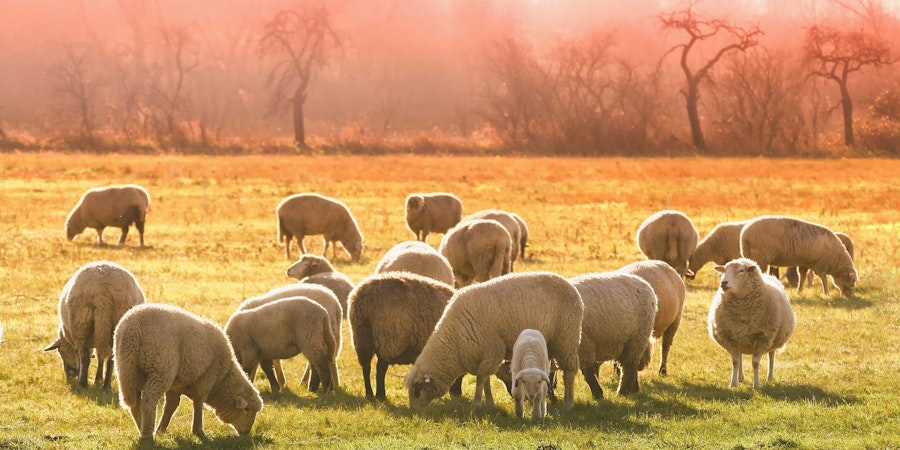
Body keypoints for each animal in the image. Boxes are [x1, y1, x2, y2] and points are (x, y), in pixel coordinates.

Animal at [114, 303, 263, 440]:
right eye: (247, 410)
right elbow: (198, 403)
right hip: (160, 369)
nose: (246, 433)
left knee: (135, 404)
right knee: (148, 401)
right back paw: (147, 435)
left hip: (127, 369)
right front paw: (199, 432)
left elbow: (171, 407)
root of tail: (133, 327)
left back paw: (142, 429)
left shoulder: (176, 385)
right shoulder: (207, 377)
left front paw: (161, 429)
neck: (223, 378)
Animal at [348, 272, 457, 400]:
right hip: (388, 339)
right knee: (380, 369)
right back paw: (381, 395)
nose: (457, 394)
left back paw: (369, 394)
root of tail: (363, 297)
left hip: (362, 338)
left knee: (366, 367)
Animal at [405, 272, 583, 412]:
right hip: (550, 344)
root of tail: (571, 287)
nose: (413, 411)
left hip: (567, 339)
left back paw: (568, 404)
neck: (455, 340)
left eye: (417, 390)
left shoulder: (493, 349)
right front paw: (489, 403)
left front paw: (476, 405)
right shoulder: (484, 353)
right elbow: (486, 380)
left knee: (569, 372)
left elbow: (481, 379)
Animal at [708, 258, 796, 388]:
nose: (724, 283)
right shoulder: (730, 338)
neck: (742, 311)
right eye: (724, 270)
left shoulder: (762, 338)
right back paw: (740, 377)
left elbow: (755, 363)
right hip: (739, 338)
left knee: (771, 356)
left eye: (741, 271)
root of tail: (768, 275)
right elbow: (735, 361)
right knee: (740, 357)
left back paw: (770, 378)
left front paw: (756, 385)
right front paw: (733, 383)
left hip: (773, 339)